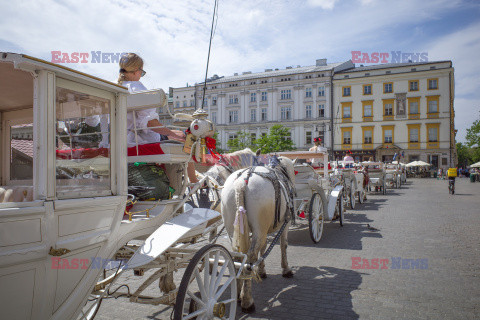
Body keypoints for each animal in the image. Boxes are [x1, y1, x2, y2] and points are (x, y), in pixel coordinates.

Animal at [221, 156, 296, 312]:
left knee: (238, 257)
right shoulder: (284, 225)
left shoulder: (264, 231)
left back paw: (238, 293)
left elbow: (264, 247)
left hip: (233, 230)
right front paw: (286, 269)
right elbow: (283, 245)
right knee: (250, 258)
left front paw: (262, 270)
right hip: (259, 229)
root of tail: (241, 182)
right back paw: (247, 301)